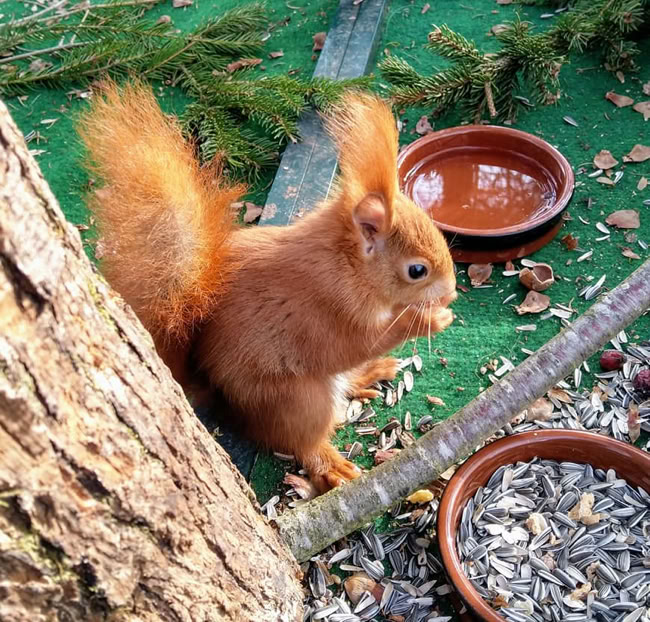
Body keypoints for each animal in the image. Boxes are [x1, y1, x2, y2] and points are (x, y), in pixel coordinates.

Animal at [78, 81, 457, 492]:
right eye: (417, 270)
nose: (452, 290)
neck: (346, 264)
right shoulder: (328, 311)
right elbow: (358, 343)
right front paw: (430, 319)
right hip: (299, 400)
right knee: (303, 440)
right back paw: (330, 464)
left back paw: (370, 372)